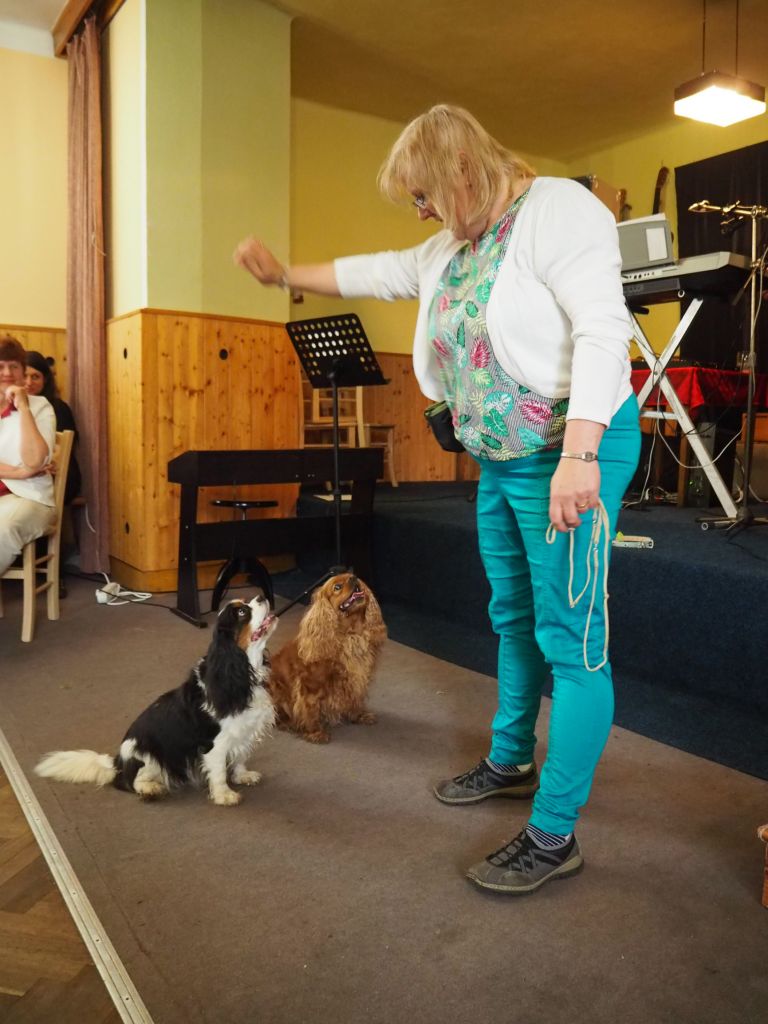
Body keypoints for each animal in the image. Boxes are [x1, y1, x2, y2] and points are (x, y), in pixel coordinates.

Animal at [35, 596, 277, 806]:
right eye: (242, 612)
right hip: (150, 755)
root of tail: (118, 763)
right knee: (130, 782)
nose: (262, 596)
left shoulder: (244, 732)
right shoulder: (215, 744)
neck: (242, 671)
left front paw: (243, 776)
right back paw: (150, 789)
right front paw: (224, 796)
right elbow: (218, 772)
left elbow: (240, 758)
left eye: (245, 603)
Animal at [268, 573, 386, 743]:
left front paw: (359, 716)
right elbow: (310, 710)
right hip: (275, 687)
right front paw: (316, 733)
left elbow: (356, 699)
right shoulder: (310, 687)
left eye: (354, 577)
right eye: (337, 587)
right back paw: (287, 723)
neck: (350, 634)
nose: (353, 578)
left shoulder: (356, 680)